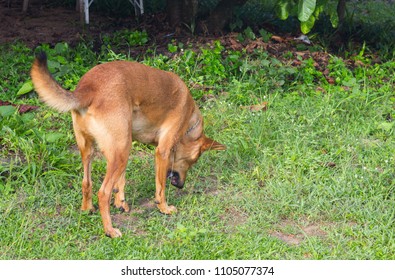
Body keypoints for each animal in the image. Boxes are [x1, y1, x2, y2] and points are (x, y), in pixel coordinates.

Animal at [31, 52, 226, 236]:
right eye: (193, 160)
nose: (181, 186)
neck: (189, 122)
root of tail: (88, 89)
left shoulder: (126, 140)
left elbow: (121, 181)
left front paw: (120, 202)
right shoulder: (161, 152)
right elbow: (160, 187)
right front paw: (163, 208)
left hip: (96, 151)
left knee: (86, 183)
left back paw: (87, 209)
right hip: (119, 154)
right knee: (103, 193)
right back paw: (110, 230)